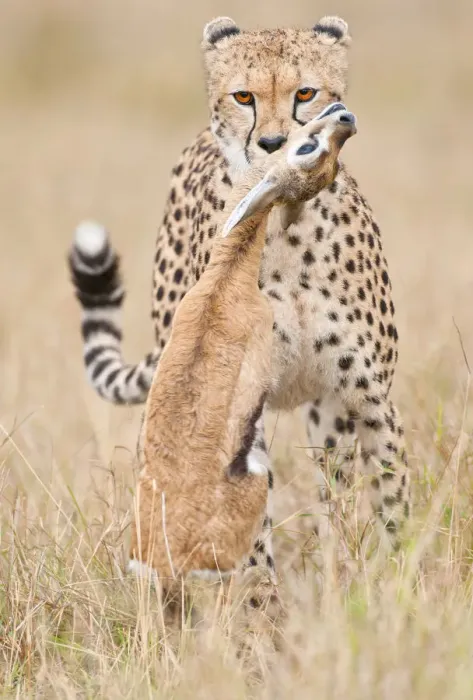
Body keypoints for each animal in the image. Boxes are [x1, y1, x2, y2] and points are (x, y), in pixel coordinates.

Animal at [68, 15, 410, 589]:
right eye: (244, 96)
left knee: (334, 492)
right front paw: (261, 607)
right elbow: (251, 541)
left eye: (304, 93)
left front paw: (398, 586)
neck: (288, 223)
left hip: (326, 414)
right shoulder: (232, 408)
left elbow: (393, 502)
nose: (273, 143)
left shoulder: (368, 397)